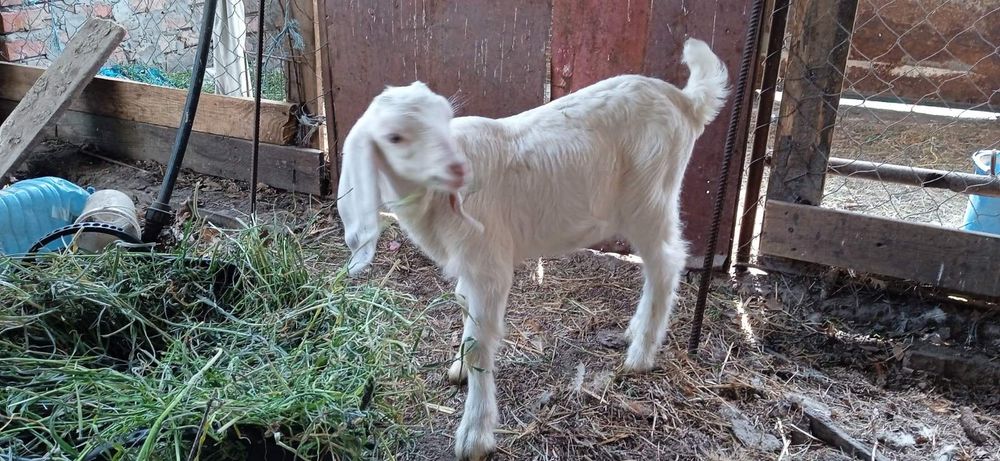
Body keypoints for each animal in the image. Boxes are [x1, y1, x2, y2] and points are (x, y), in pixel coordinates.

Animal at [337, 38, 729, 460]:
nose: (460, 170)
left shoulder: (488, 261)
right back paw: (635, 331)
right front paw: (459, 368)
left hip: (650, 197)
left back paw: (640, 354)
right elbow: (464, 310)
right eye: (394, 137)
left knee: (666, 263)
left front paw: (475, 435)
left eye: (445, 118)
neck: (433, 204)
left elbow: (481, 346)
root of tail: (683, 101)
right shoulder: (469, 263)